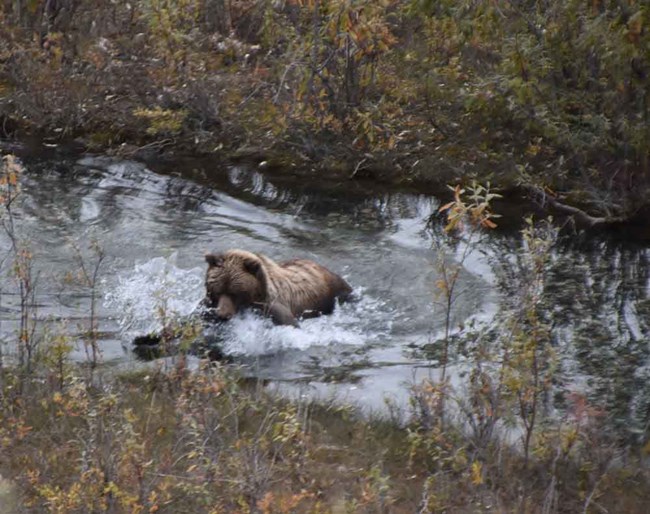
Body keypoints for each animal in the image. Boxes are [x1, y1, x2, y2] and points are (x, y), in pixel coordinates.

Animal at [203, 249, 353, 326]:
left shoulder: (274, 307)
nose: (223, 314)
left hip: (334, 292)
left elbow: (289, 323)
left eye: (235, 293)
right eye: (217, 291)